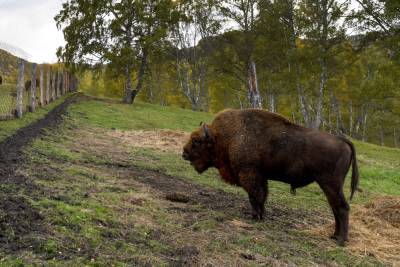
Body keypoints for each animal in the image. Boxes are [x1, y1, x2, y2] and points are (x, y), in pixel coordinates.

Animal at [183, 109, 358, 247]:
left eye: (196, 141)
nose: (184, 153)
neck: (226, 136)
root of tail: (342, 140)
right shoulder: (261, 177)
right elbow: (262, 196)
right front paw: (261, 216)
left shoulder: (249, 175)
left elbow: (254, 197)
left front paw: (254, 217)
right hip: (330, 186)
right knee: (335, 208)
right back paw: (334, 236)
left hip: (330, 184)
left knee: (342, 207)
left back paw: (341, 240)